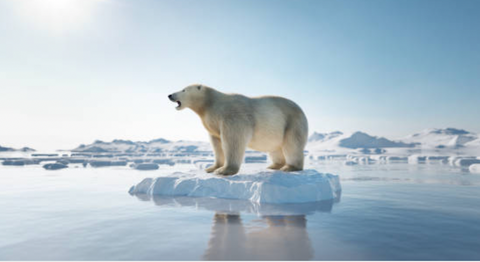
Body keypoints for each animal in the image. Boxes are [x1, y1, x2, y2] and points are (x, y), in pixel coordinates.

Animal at [169, 84, 310, 176]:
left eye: (183, 89)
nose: (170, 95)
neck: (211, 103)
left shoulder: (232, 116)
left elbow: (233, 140)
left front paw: (224, 170)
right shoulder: (212, 123)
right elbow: (216, 143)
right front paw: (212, 168)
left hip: (293, 123)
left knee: (292, 145)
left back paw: (290, 167)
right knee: (275, 148)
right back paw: (274, 165)